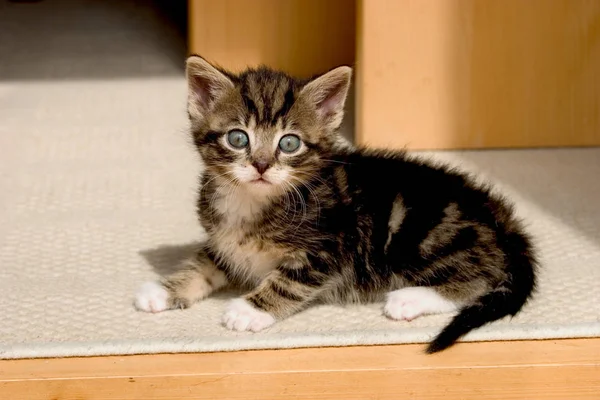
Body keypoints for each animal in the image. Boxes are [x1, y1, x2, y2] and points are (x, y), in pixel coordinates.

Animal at [136, 54, 540, 352]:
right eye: (238, 138)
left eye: (289, 143)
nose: (262, 165)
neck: (254, 203)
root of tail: (501, 217)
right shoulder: (223, 240)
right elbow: (204, 264)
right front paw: (165, 289)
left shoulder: (330, 250)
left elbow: (288, 281)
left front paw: (249, 309)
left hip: (420, 234)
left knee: (480, 279)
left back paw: (408, 299)